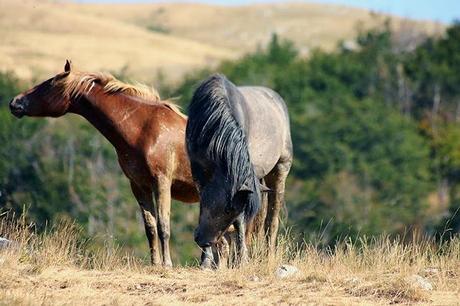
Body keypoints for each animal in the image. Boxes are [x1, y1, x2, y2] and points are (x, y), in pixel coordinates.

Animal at [9, 59, 198, 266]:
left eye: (49, 84)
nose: (15, 103)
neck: (144, 128)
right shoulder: (139, 185)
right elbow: (150, 227)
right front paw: (155, 264)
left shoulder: (161, 182)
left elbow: (164, 225)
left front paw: (167, 265)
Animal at [186, 73, 292, 266]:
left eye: (231, 210)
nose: (203, 240)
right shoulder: (198, 174)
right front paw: (206, 261)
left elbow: (241, 224)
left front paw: (241, 259)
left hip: (281, 168)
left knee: (271, 219)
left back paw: (267, 256)